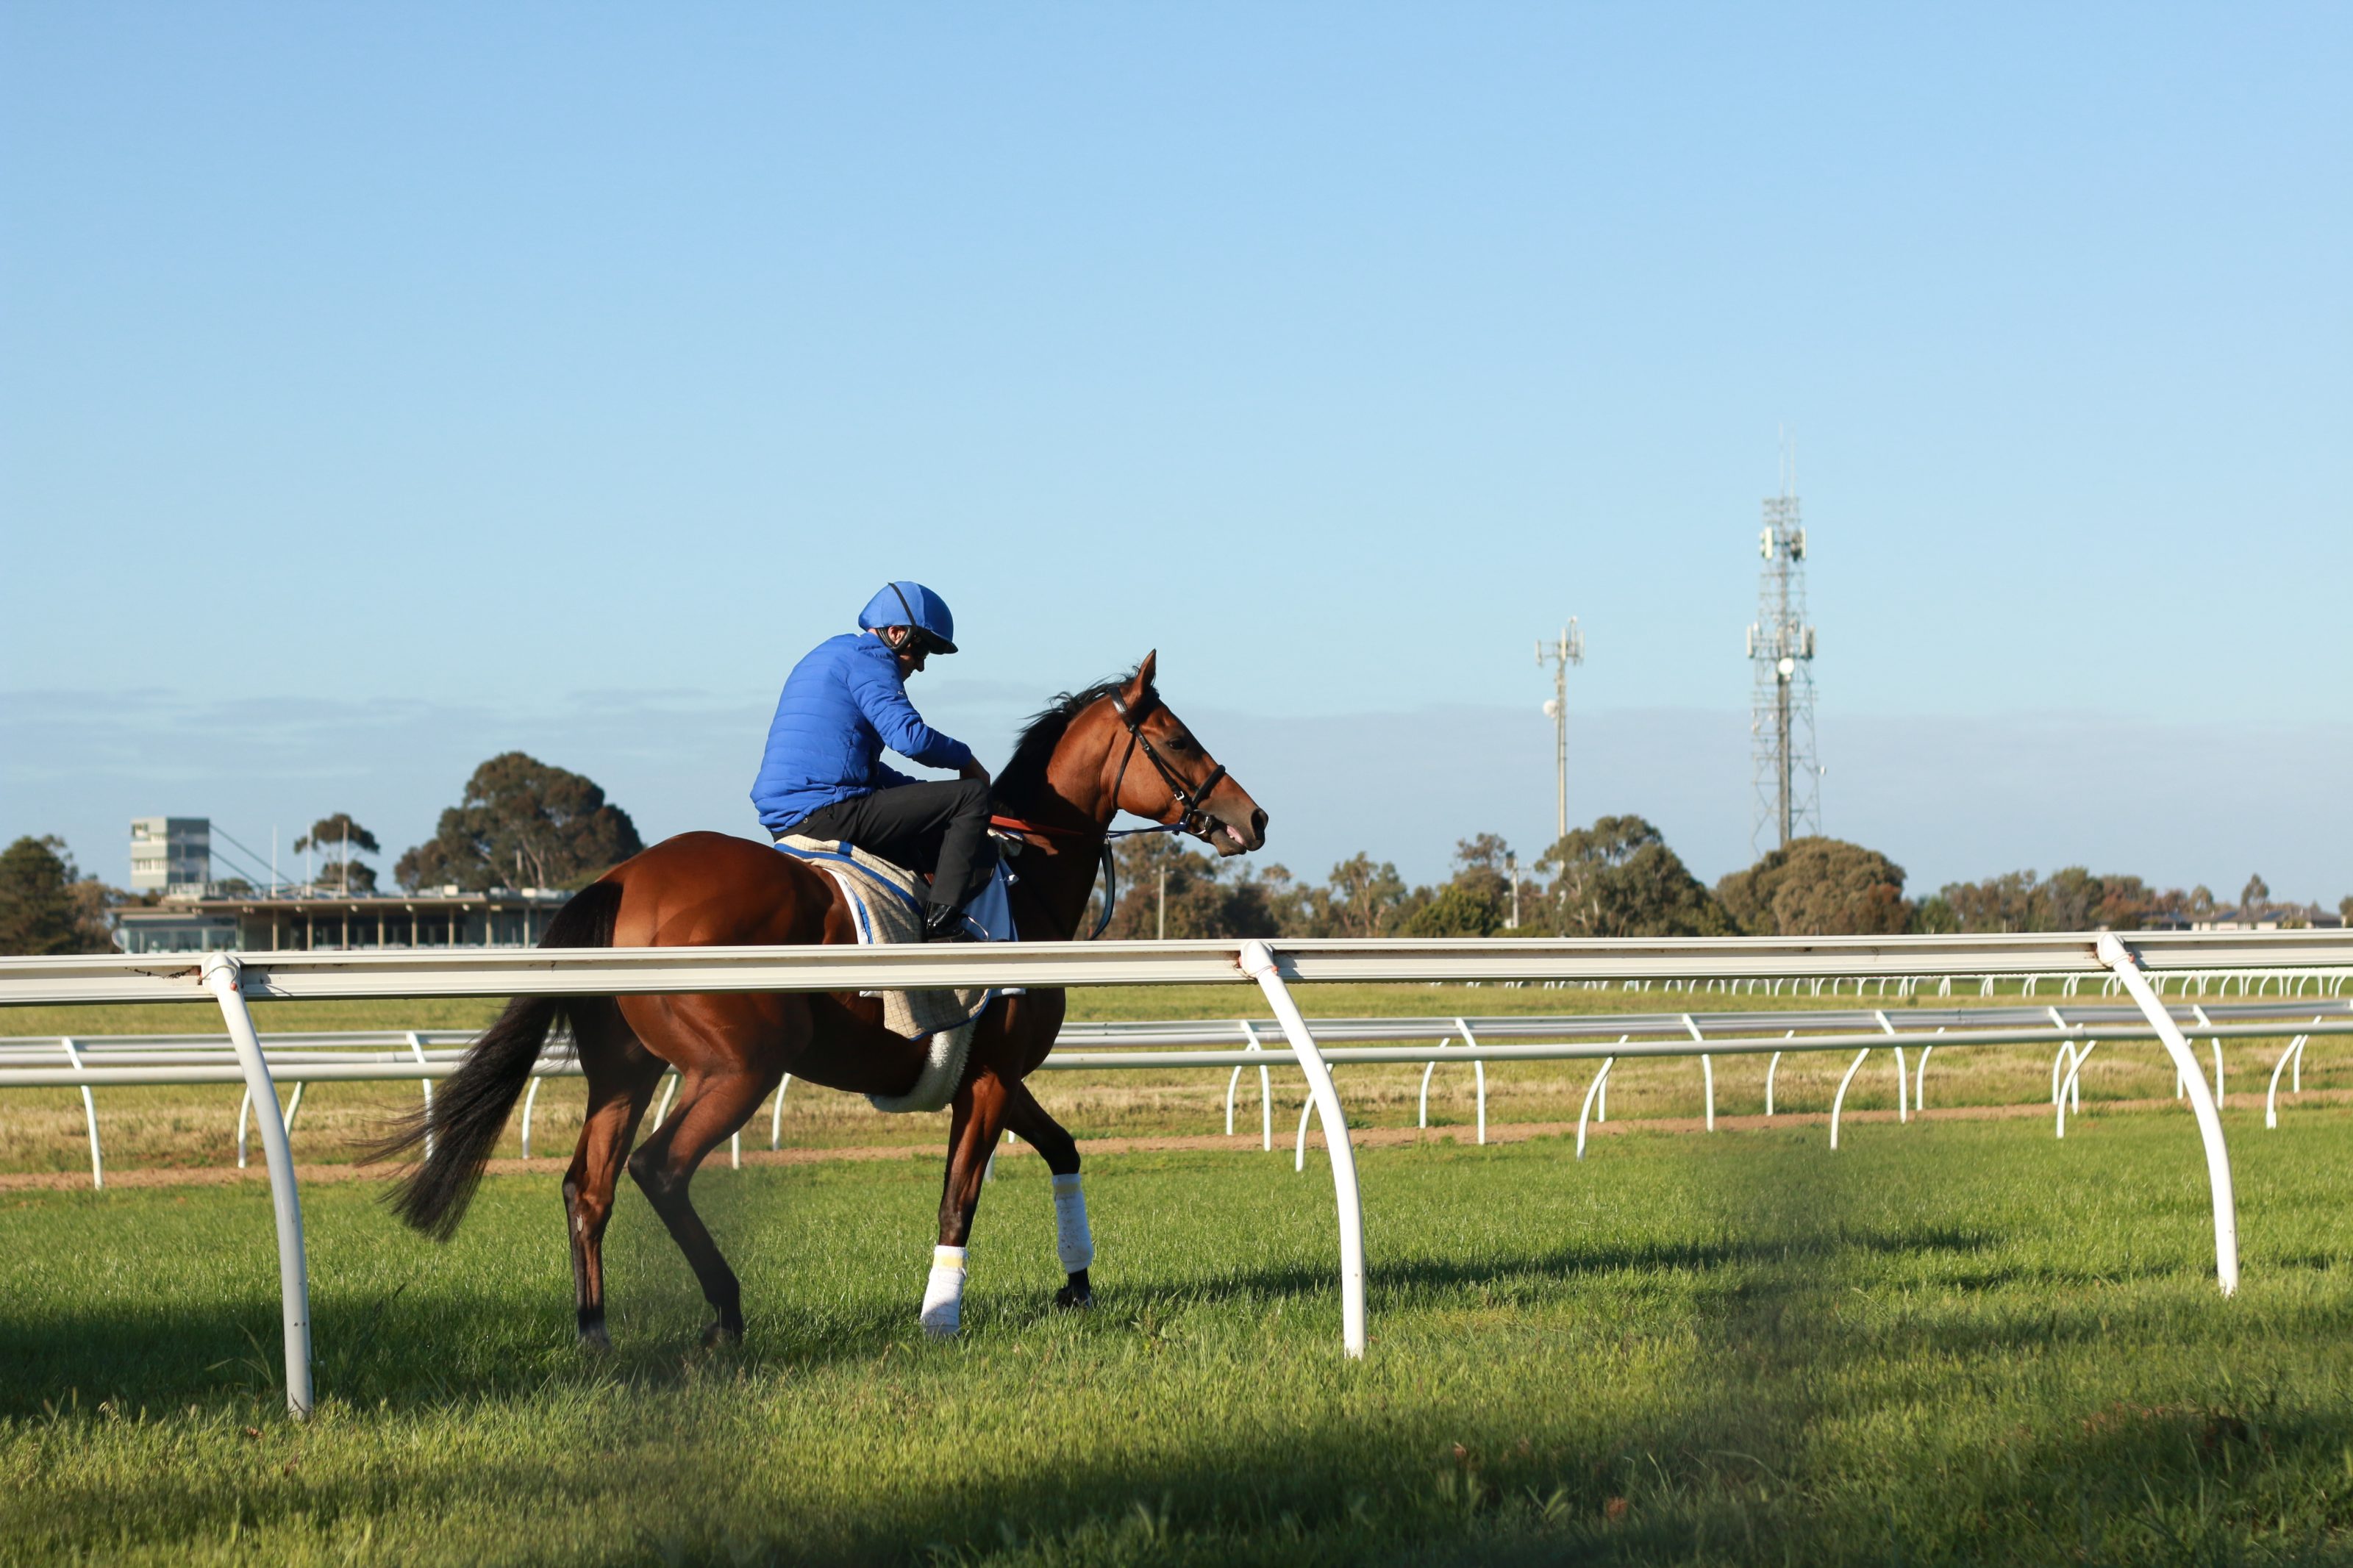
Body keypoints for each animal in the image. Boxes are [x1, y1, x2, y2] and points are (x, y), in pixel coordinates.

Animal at [372, 652, 1266, 1347]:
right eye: (1178, 739)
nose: (1252, 816)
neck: (1024, 881)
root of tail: (619, 879)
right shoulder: (987, 1078)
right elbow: (959, 1201)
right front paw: (940, 1319)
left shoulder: (994, 1076)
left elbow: (1063, 1149)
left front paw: (1076, 1286)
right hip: (740, 1066)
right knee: (659, 1168)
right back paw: (725, 1313)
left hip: (624, 1071)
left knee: (587, 1186)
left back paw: (596, 1333)